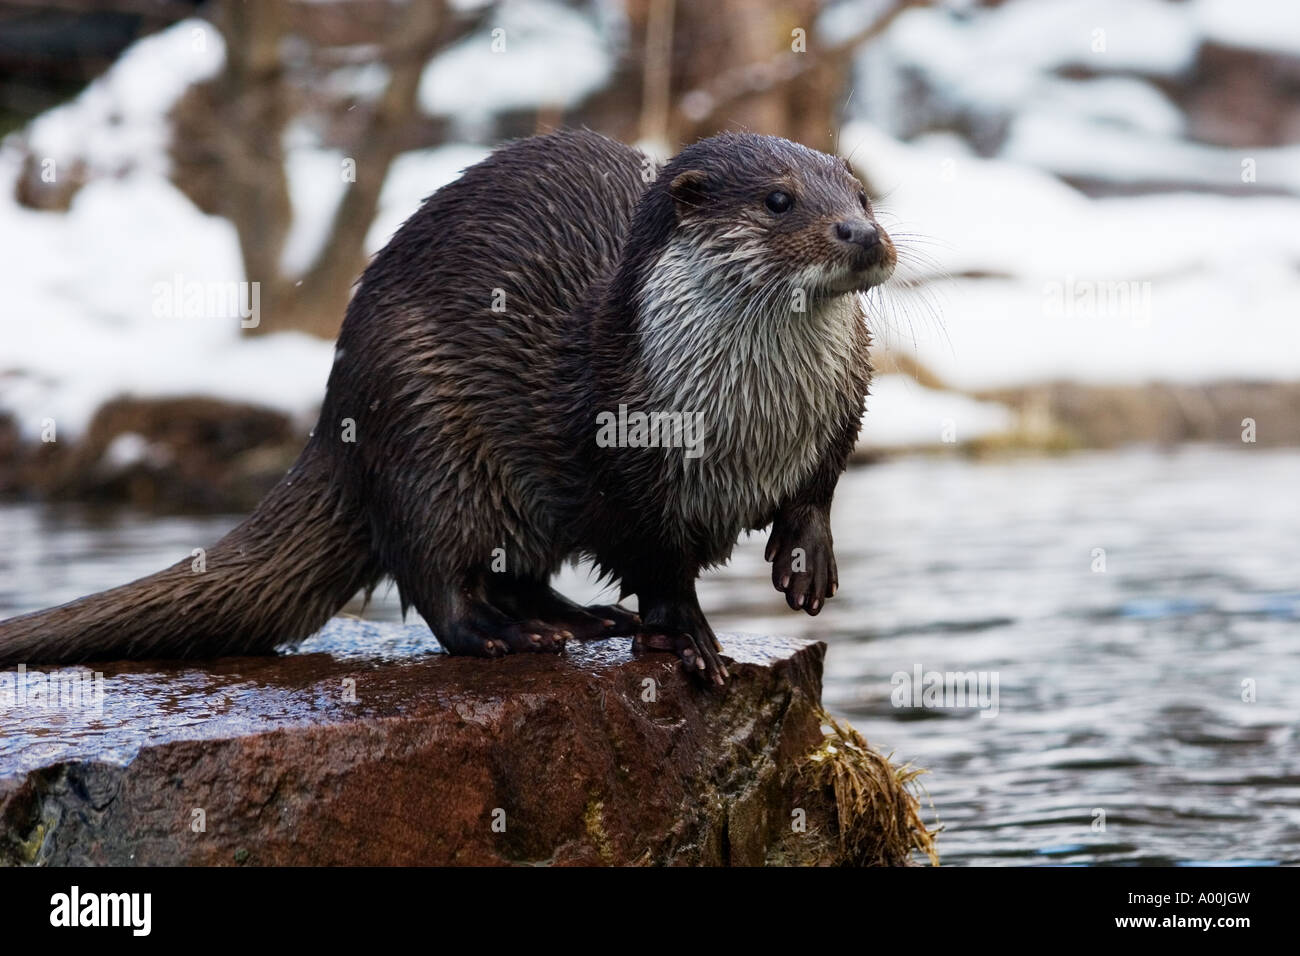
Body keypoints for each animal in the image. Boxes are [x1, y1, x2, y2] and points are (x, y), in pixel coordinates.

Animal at [0, 132, 894, 686]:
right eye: (779, 200)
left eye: (860, 194)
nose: (861, 235)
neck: (753, 432)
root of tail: (335, 417)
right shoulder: (621, 460)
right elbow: (656, 562)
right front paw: (693, 643)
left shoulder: (843, 407)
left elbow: (821, 486)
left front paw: (807, 559)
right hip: (422, 427)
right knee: (436, 577)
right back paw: (510, 635)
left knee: (517, 571)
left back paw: (583, 620)